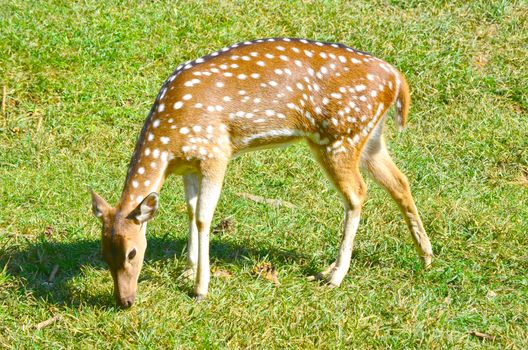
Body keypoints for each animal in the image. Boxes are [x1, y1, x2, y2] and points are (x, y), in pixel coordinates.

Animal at [89, 37, 434, 308]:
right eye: (103, 254)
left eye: (132, 253)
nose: (125, 300)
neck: (167, 146)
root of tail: (397, 79)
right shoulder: (190, 164)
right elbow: (189, 209)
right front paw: (188, 269)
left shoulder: (216, 152)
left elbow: (203, 216)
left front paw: (201, 287)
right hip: (370, 137)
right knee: (399, 181)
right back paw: (426, 256)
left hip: (338, 138)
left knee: (357, 193)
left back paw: (335, 275)